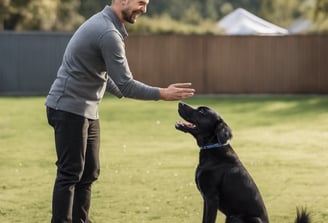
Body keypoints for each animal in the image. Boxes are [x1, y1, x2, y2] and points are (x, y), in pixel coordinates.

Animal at [174, 103, 310, 223]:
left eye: (202, 111)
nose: (180, 103)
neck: (213, 148)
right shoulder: (206, 200)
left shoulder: (211, 198)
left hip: (238, 217)